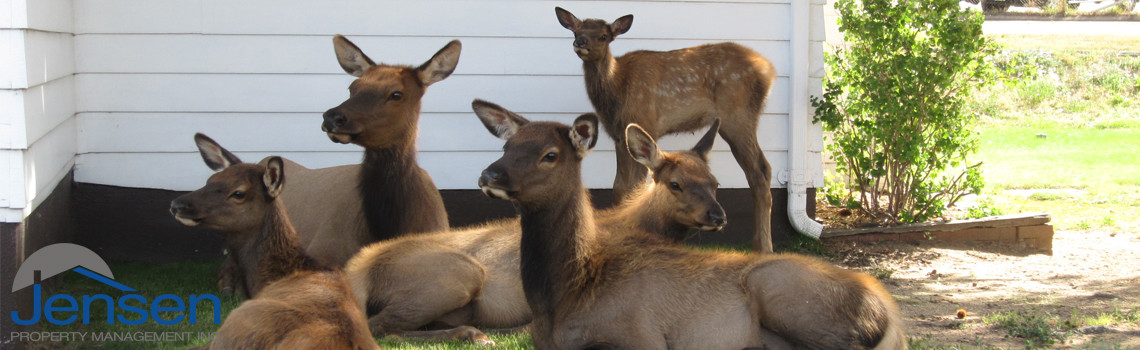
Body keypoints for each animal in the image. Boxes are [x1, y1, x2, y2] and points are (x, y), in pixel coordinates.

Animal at [342, 99, 725, 346]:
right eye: (675, 184)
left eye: (715, 182)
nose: (717, 216)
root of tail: (360, 265)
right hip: (458, 274)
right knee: (377, 326)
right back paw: (474, 334)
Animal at [476, 114, 902, 348]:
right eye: (506, 146)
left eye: (550, 155)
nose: (489, 175)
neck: (566, 294)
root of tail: (886, 308)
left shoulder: (642, 334)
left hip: (785, 294)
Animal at [554, 6, 784, 254]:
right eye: (576, 30)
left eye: (604, 36)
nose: (580, 42)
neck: (616, 93)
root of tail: (769, 70)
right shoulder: (619, 136)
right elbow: (619, 186)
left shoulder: (644, 121)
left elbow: (633, 186)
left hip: (738, 117)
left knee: (761, 170)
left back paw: (765, 247)